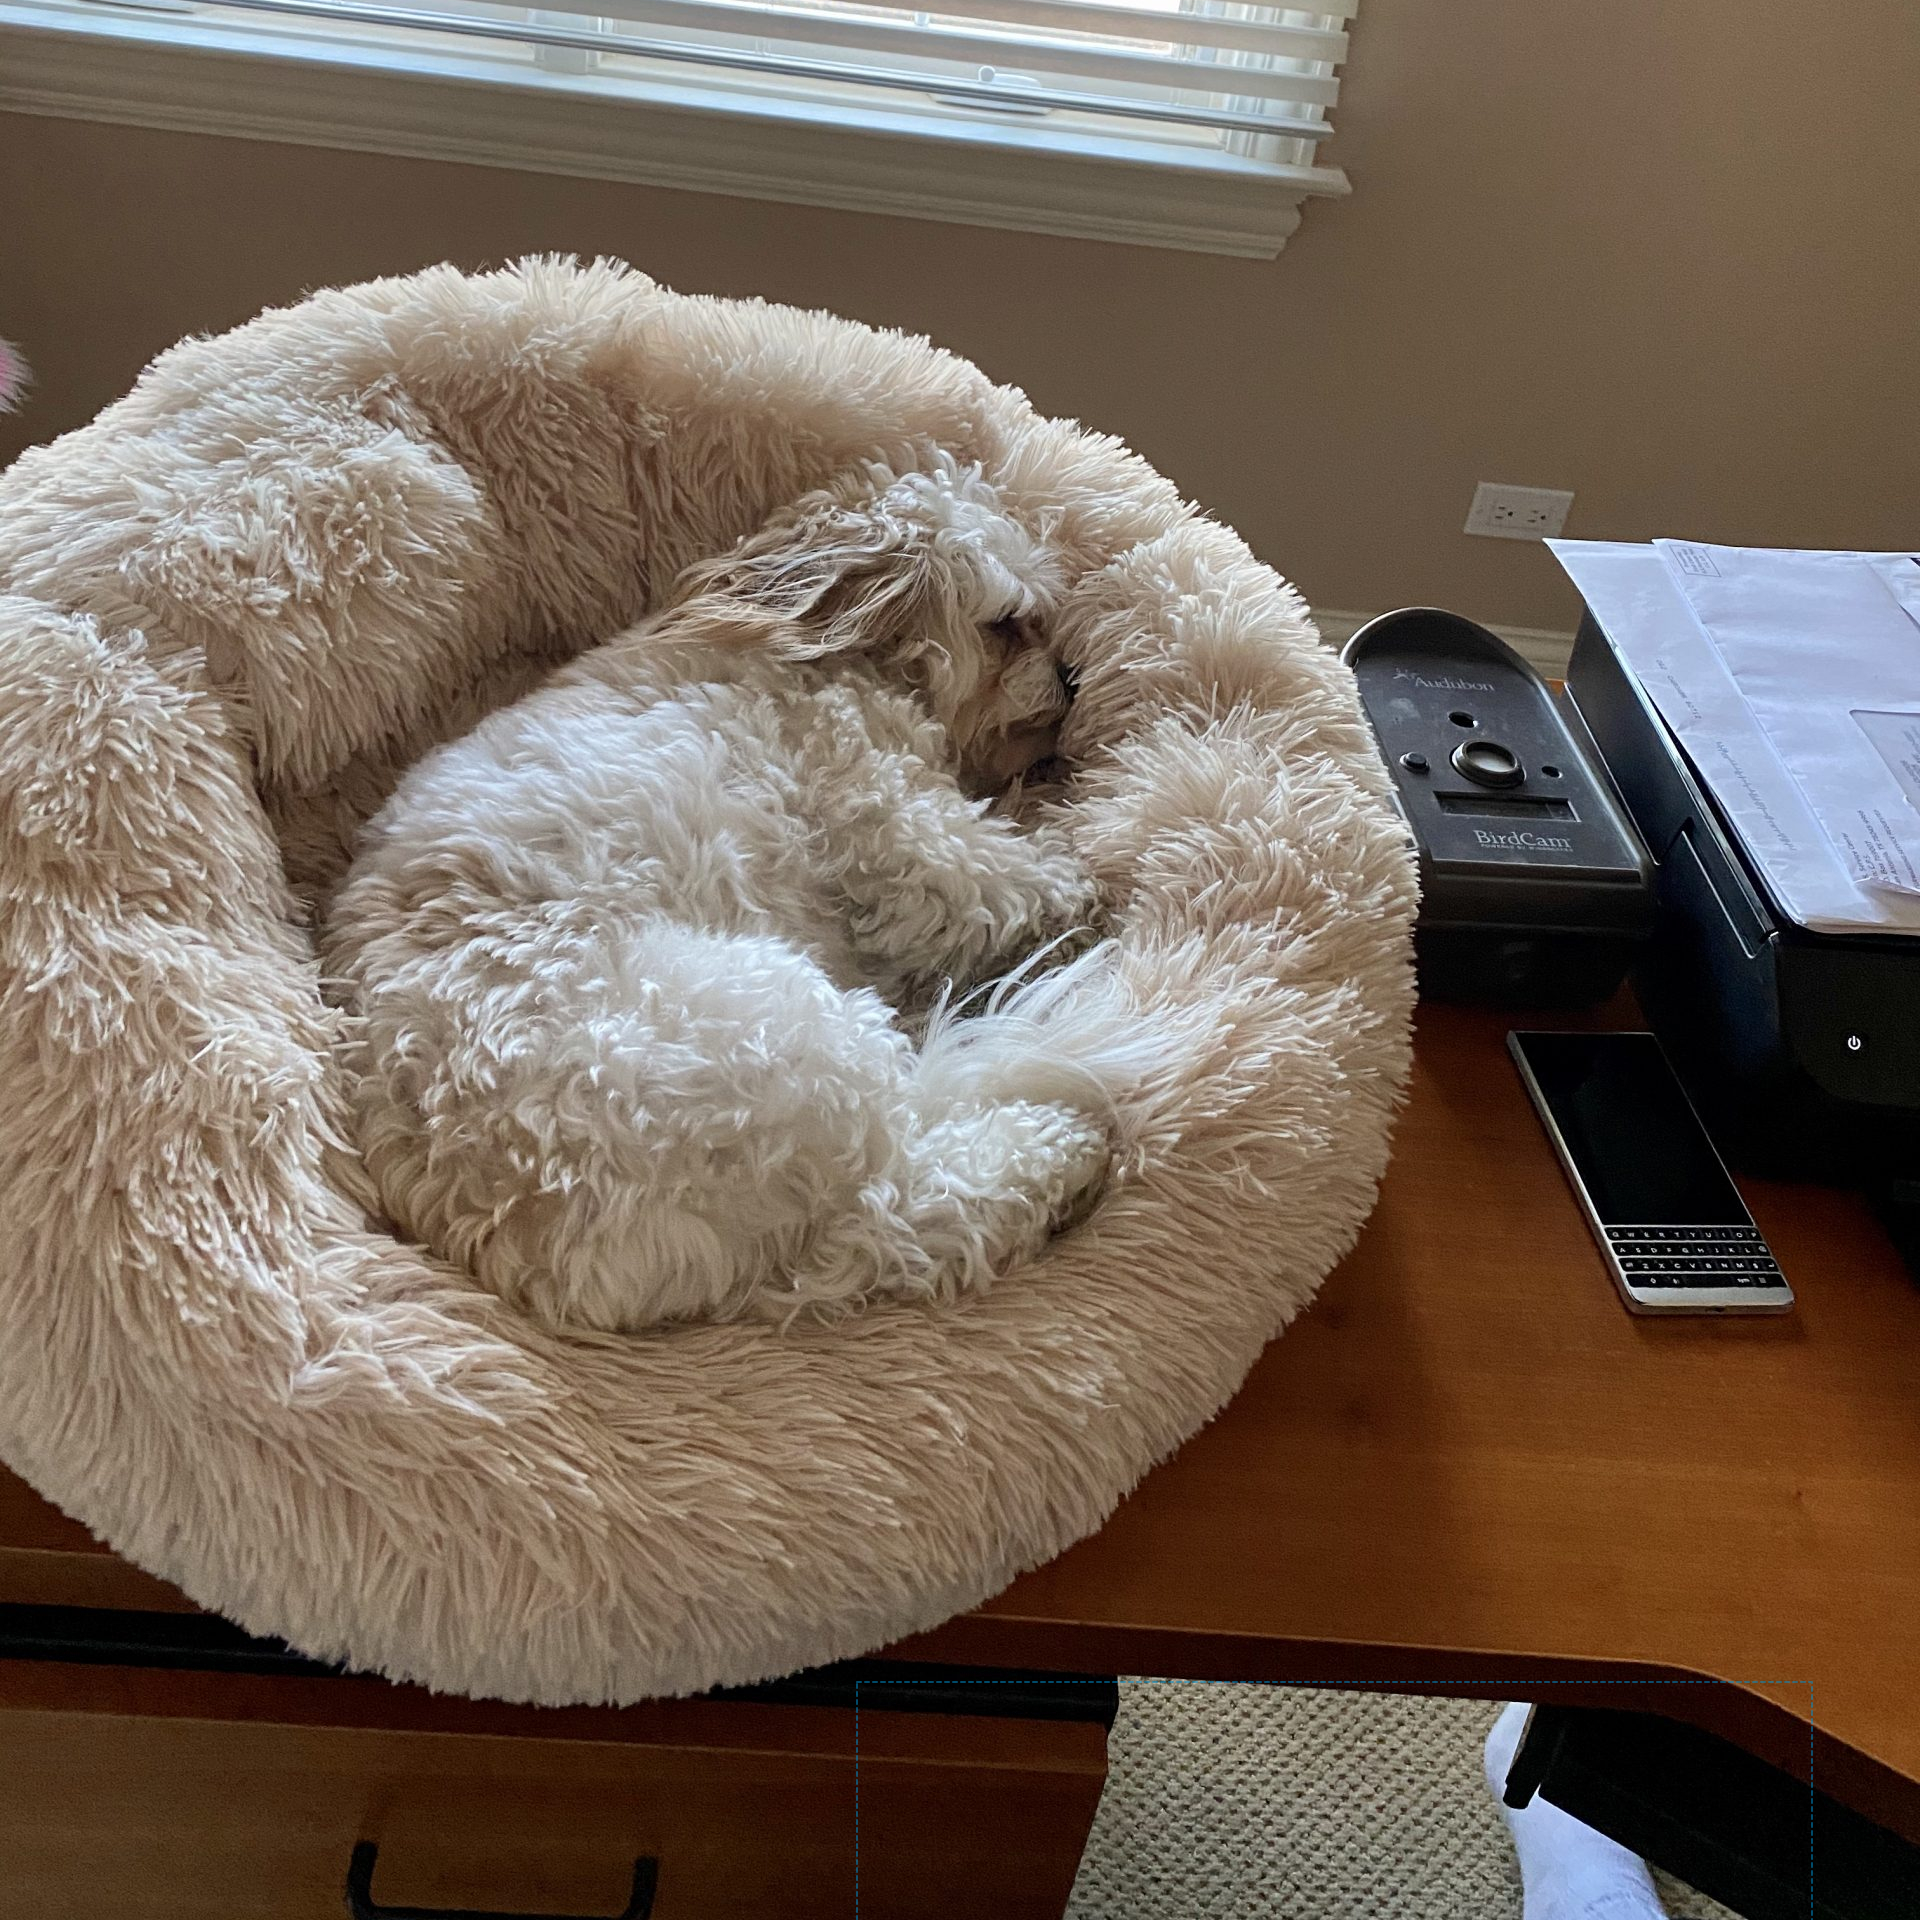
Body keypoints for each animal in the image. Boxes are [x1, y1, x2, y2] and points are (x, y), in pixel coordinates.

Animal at [328, 464, 1136, 1336]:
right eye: (1008, 625)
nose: (1074, 677)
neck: (837, 652)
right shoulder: (895, 824)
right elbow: (1017, 874)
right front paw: (1082, 869)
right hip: (791, 1039)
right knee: (904, 1211)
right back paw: (1057, 1152)